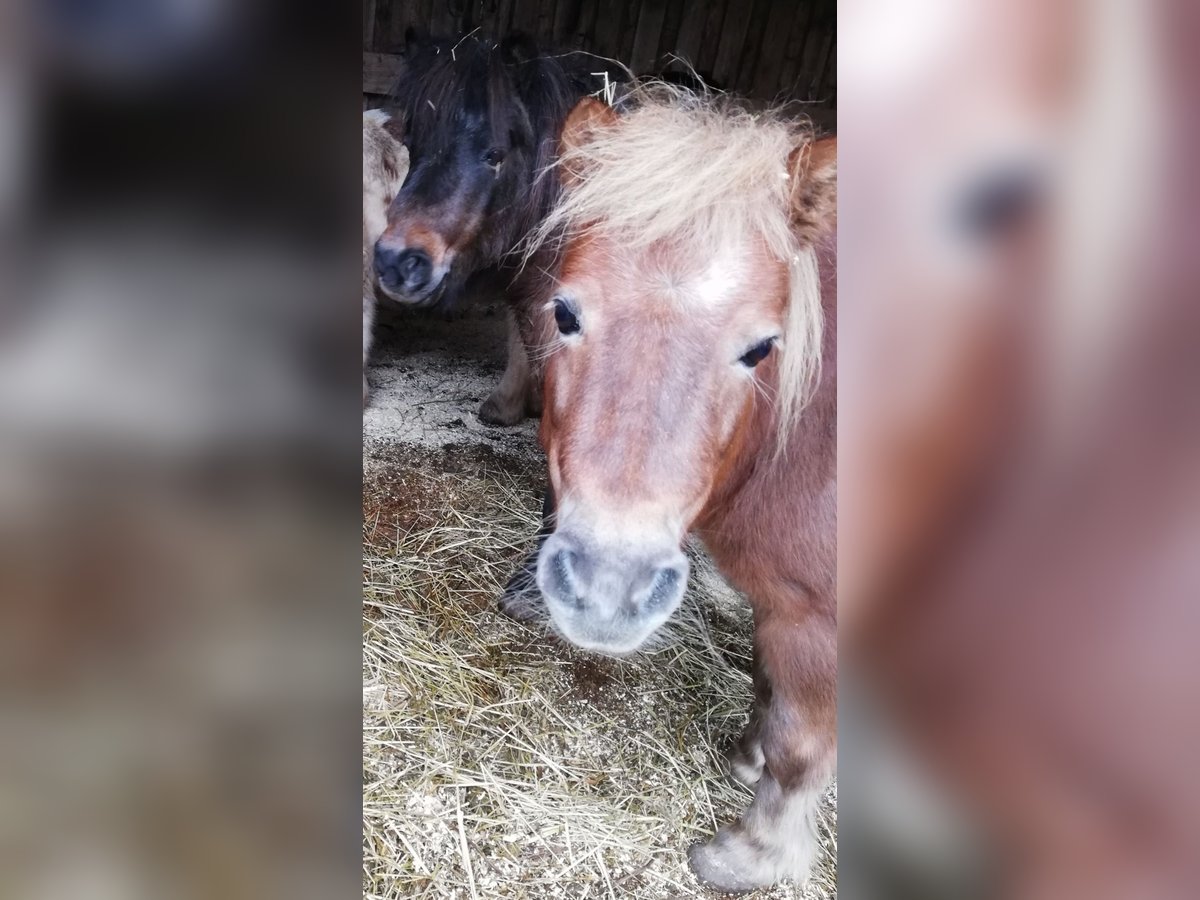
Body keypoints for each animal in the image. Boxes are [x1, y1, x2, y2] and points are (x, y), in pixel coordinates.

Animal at [501, 88, 840, 892]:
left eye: (762, 347)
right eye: (565, 312)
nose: (608, 587)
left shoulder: (817, 622)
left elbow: (801, 743)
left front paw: (752, 856)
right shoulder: (778, 603)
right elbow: (766, 686)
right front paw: (746, 756)